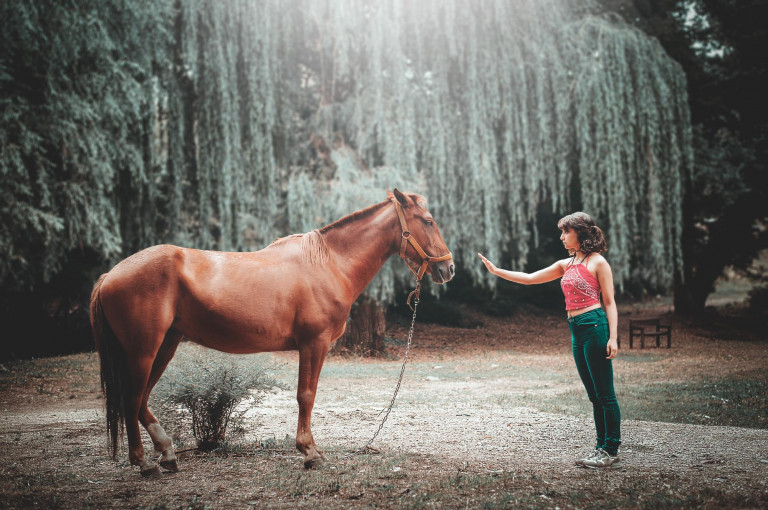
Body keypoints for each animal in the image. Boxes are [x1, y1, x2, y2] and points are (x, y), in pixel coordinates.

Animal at [90, 189, 452, 476]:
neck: (328, 263)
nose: (448, 269)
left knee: (140, 399)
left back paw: (167, 454)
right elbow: (306, 395)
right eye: (428, 220)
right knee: (132, 398)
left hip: (165, 346)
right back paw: (144, 463)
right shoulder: (314, 343)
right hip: (143, 350)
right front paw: (310, 452)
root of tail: (110, 275)